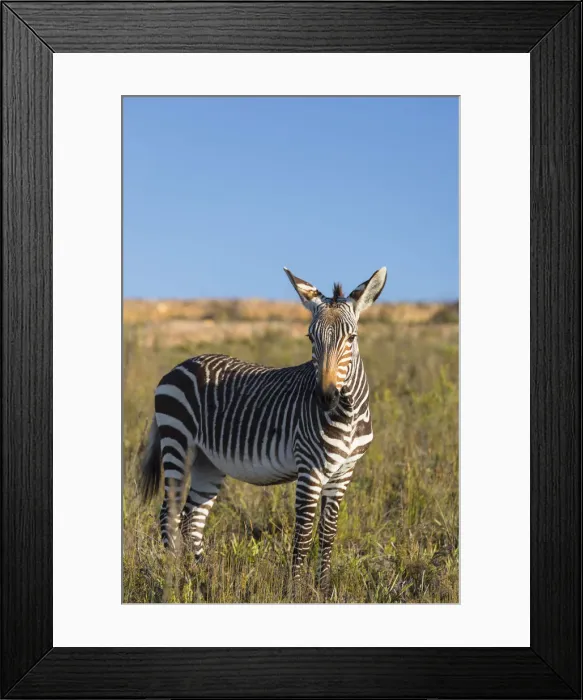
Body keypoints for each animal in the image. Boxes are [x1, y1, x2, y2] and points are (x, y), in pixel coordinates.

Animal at [139, 266, 387, 593]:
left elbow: (328, 533)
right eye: (310, 337)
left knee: (193, 517)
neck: (349, 414)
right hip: (177, 441)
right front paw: (296, 593)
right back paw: (175, 579)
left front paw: (323, 589)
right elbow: (303, 535)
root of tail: (179, 366)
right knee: (169, 513)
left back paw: (202, 577)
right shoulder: (310, 469)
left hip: (208, 460)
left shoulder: (344, 472)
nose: (325, 396)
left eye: (352, 337)